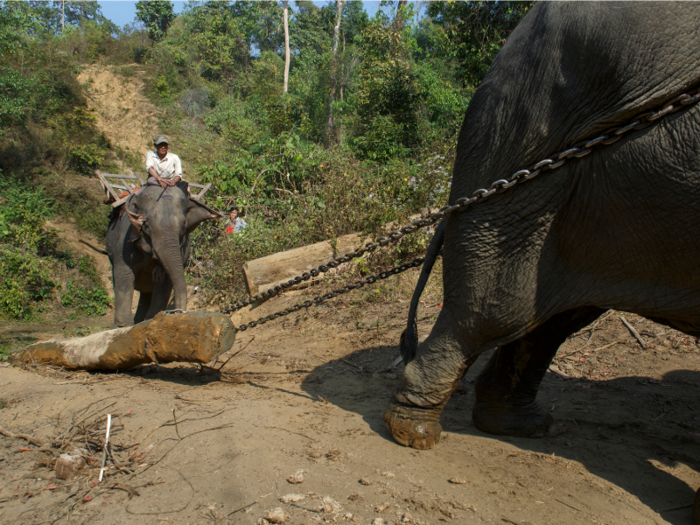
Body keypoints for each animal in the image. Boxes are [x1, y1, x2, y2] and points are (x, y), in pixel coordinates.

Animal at [106, 183, 219, 324]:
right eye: (146, 225)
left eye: (183, 226)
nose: (179, 312)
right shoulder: (124, 241)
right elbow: (124, 275)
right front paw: (124, 326)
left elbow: (164, 283)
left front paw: (153, 319)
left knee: (146, 294)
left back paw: (141, 321)